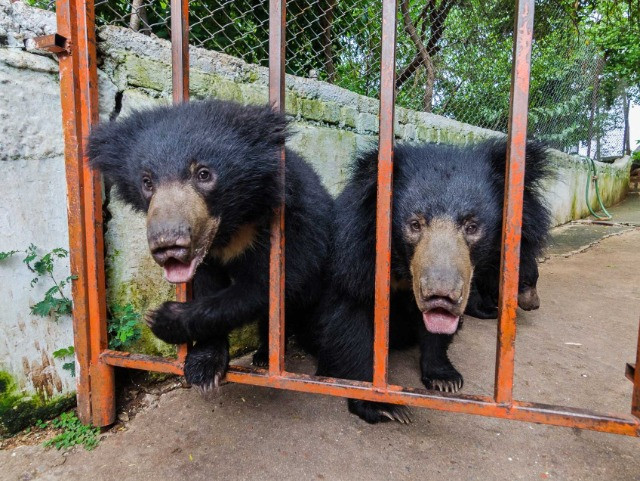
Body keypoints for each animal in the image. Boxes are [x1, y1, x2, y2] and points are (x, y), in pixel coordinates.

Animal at [88, 99, 333, 391]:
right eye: (147, 182)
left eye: (204, 174)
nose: (168, 245)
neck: (231, 226)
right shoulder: (206, 254)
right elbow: (206, 285)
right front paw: (204, 366)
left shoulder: (292, 228)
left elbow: (265, 286)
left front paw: (163, 319)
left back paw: (266, 356)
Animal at [315, 139, 551, 423]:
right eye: (415, 224)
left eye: (472, 226)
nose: (441, 295)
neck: (402, 267)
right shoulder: (356, 257)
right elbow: (351, 322)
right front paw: (382, 405)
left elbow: (436, 331)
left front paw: (445, 379)